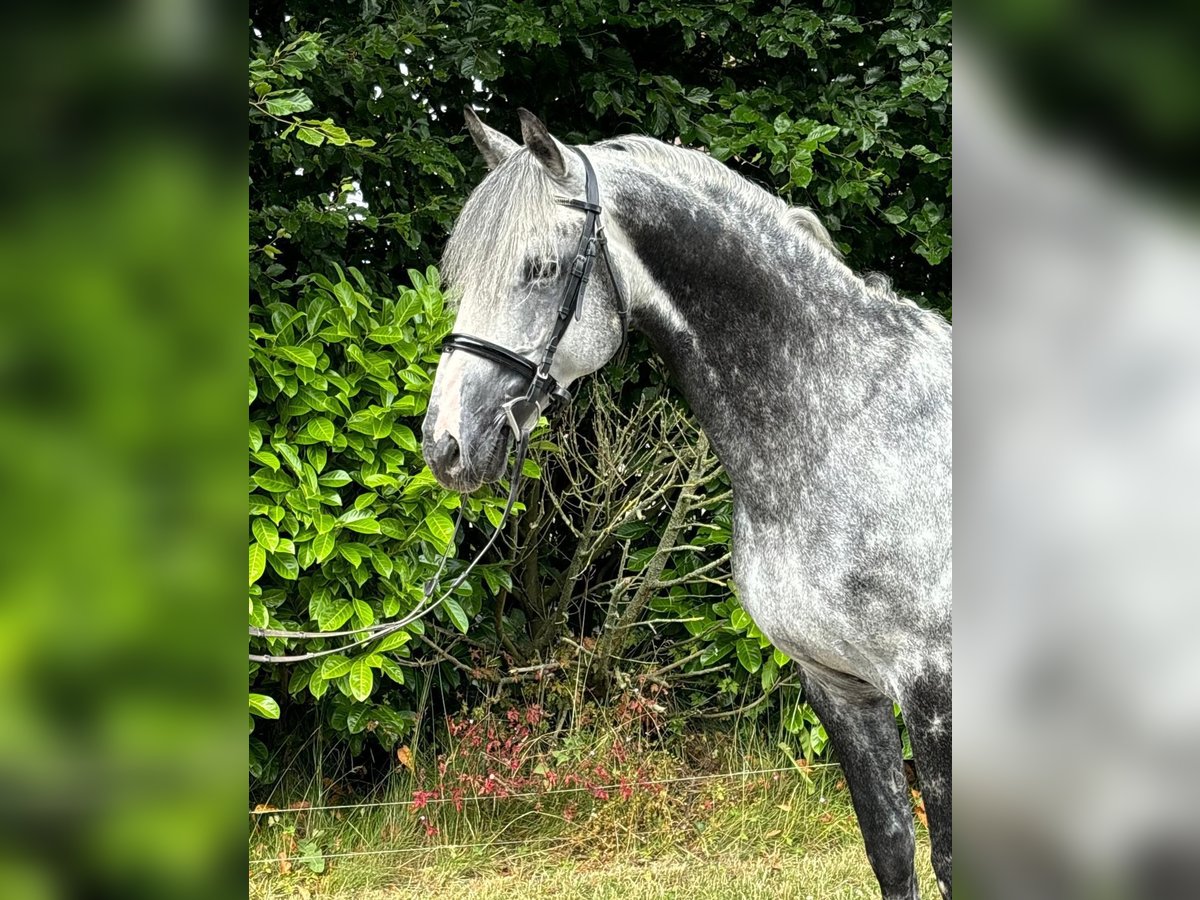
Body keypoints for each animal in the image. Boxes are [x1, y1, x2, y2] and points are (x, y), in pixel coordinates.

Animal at [420, 109, 945, 897]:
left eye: (540, 268)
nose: (445, 443)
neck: (847, 425)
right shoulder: (840, 688)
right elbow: (891, 850)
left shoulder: (935, 690)